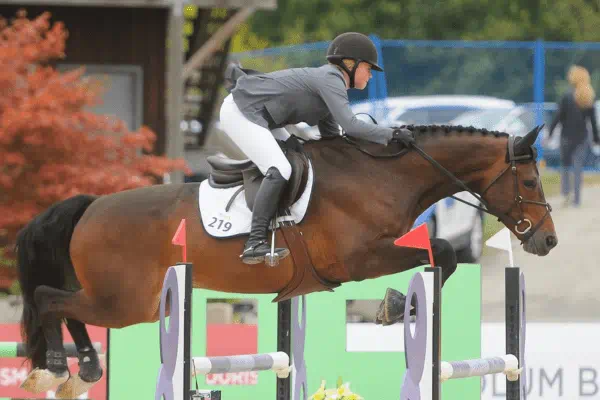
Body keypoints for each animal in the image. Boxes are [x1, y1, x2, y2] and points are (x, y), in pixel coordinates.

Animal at [15, 123, 556, 398]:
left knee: (62, 303)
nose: (547, 240)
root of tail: (89, 206)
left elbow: (439, 256)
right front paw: (394, 306)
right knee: (48, 298)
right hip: (124, 302)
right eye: (530, 181)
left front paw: (395, 305)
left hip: (135, 303)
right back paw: (57, 367)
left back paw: (82, 367)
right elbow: (440, 251)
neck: (382, 175)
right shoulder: (360, 257)